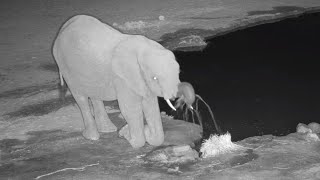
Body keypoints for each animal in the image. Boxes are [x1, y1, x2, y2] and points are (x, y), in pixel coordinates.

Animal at [52, 15, 196, 148]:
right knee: (80, 97)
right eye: (155, 78)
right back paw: (92, 136)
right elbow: (130, 109)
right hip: (65, 65)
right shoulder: (123, 78)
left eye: (178, 72)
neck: (143, 49)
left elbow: (151, 107)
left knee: (95, 94)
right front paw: (126, 133)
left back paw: (108, 129)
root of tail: (63, 28)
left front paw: (133, 131)